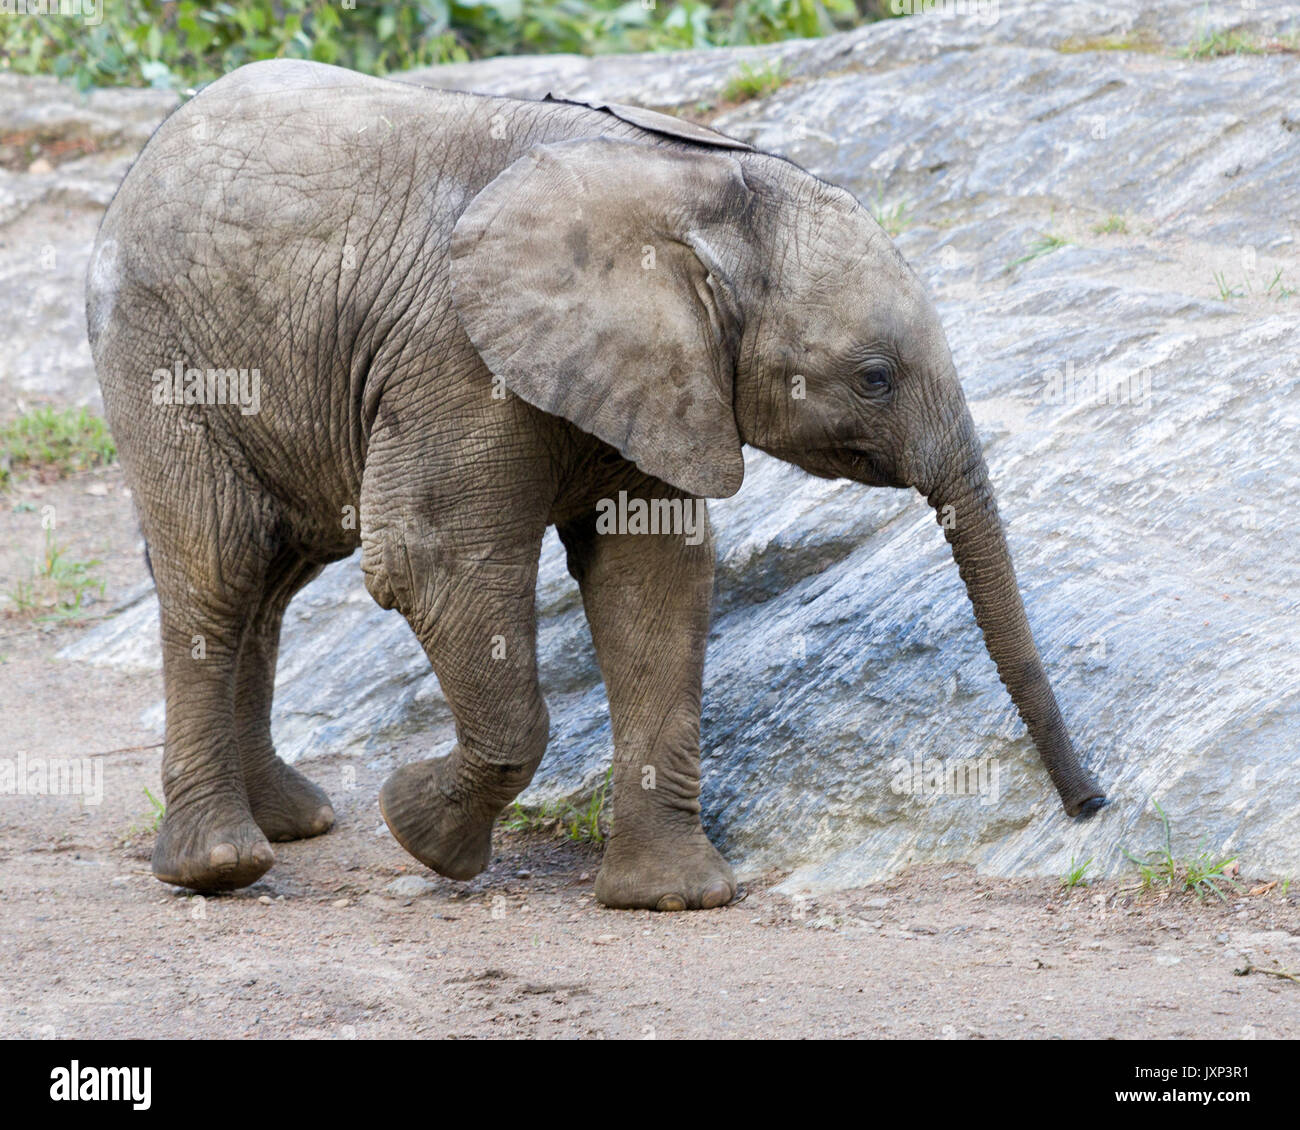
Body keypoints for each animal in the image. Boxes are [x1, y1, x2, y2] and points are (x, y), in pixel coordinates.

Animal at [89, 59, 1107, 910]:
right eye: (875, 378)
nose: (1091, 805)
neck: (688, 192)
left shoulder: (661, 378)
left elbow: (653, 582)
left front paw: (672, 899)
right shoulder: (454, 355)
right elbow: (432, 561)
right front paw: (420, 831)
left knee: (275, 576)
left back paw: (297, 823)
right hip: (164, 359)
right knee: (219, 564)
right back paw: (223, 867)